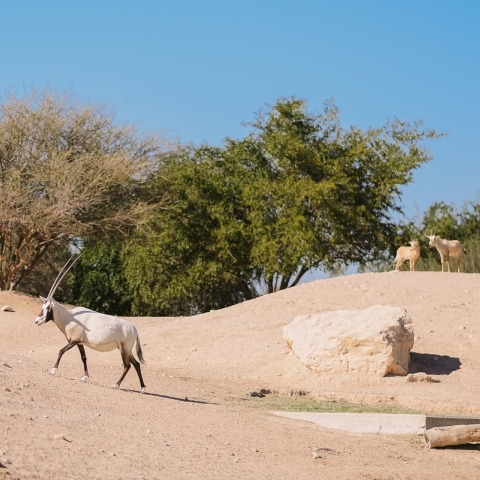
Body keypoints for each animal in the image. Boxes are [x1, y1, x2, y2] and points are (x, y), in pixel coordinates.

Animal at [34, 253, 146, 392]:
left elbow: (61, 351)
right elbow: (84, 357)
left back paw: (116, 385)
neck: (69, 317)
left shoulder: (73, 341)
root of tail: (135, 330)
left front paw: (53, 370)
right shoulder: (79, 343)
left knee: (128, 365)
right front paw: (85, 377)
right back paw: (142, 388)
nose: (37, 321)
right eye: (42, 307)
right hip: (126, 349)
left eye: (48, 307)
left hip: (124, 349)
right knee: (136, 364)